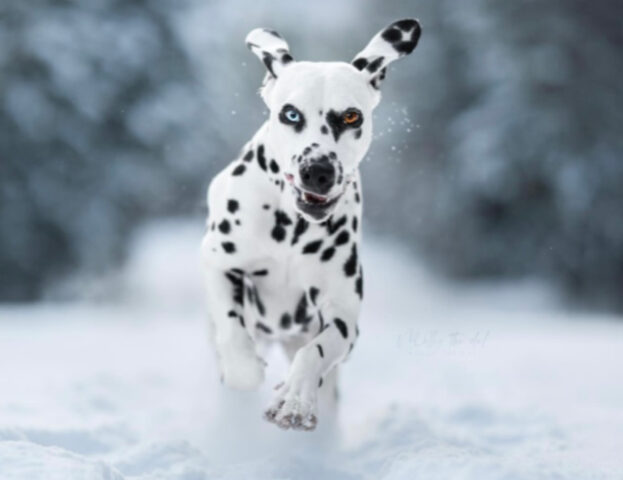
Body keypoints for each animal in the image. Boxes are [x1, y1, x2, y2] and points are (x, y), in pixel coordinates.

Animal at [202, 18, 422, 432]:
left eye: (351, 116)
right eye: (290, 114)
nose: (317, 171)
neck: (290, 229)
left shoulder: (343, 313)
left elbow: (317, 351)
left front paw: (295, 399)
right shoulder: (218, 263)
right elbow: (234, 334)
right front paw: (244, 367)